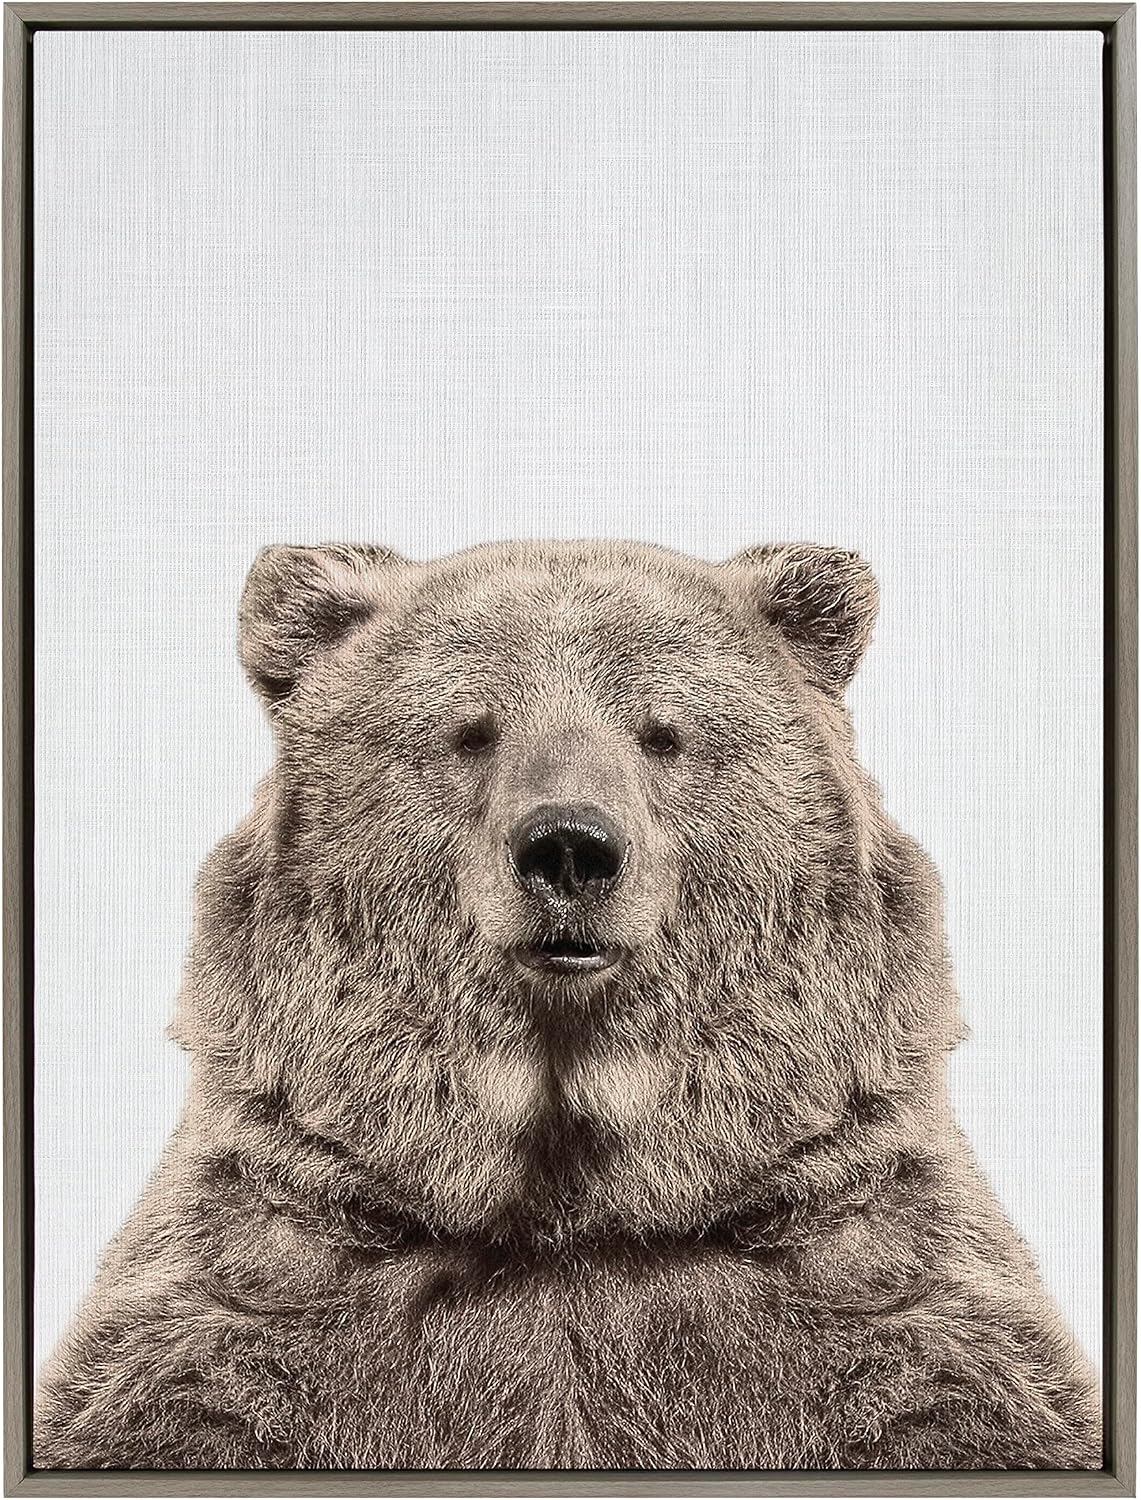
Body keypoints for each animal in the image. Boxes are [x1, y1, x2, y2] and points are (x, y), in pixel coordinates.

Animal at [35, 538, 1100, 1471]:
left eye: (662, 733)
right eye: (471, 731)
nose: (569, 849)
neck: (571, 1201)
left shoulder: (864, 1269)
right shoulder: (266, 1275)